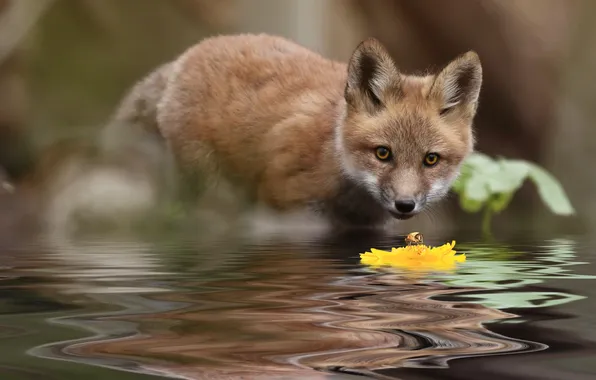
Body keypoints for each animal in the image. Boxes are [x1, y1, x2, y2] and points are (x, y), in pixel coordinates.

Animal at [105, 32, 482, 227]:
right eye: (382, 153)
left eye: (431, 160)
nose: (405, 205)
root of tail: (191, 52)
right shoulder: (283, 209)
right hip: (207, 186)